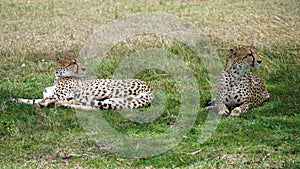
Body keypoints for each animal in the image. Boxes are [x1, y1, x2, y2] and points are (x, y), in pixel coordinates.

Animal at [12, 57, 154, 109]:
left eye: (77, 61)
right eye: (73, 63)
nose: (84, 68)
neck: (57, 78)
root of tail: (149, 88)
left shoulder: (59, 95)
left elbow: (43, 100)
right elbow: (32, 100)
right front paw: (14, 100)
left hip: (102, 89)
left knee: (83, 102)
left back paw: (62, 104)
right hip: (113, 100)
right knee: (92, 105)